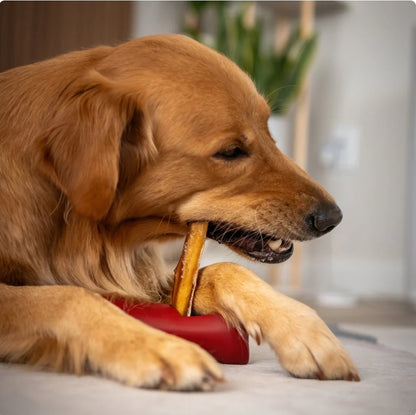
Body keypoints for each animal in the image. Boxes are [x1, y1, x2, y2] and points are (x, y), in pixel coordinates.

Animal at [0, 35, 360, 390]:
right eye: (231, 152)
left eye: (269, 131)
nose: (333, 218)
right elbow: (69, 297)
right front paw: (158, 347)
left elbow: (222, 270)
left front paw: (302, 329)